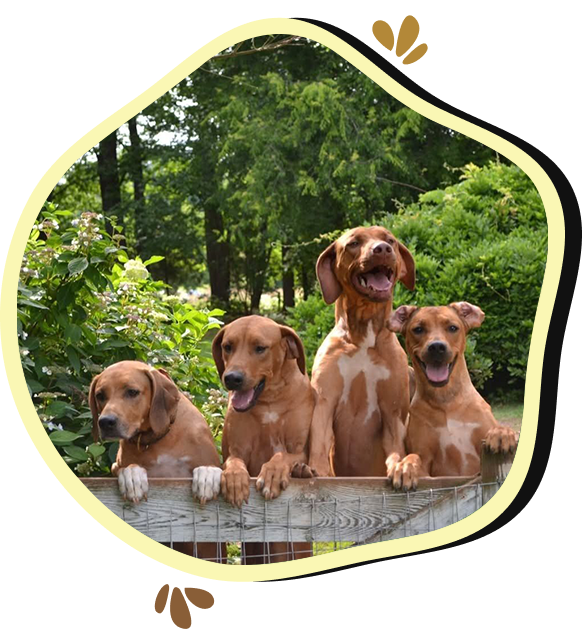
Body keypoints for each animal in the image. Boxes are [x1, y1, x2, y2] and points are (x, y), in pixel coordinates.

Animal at [90, 360, 227, 564]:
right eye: (100, 395)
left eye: (132, 392)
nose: (106, 422)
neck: (158, 438)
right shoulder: (116, 466)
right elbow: (125, 468)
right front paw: (132, 477)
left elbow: (210, 469)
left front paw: (207, 477)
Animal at [212, 316, 318, 564]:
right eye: (227, 346)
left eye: (260, 348)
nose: (232, 378)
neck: (269, 400)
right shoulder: (234, 451)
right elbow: (233, 462)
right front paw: (234, 480)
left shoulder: (300, 449)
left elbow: (282, 455)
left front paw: (272, 475)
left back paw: (301, 471)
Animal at [388, 302, 520, 488]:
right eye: (418, 329)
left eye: (452, 327)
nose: (436, 347)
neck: (446, 400)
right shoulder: (426, 460)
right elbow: (416, 458)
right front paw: (405, 466)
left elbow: (497, 430)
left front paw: (501, 433)